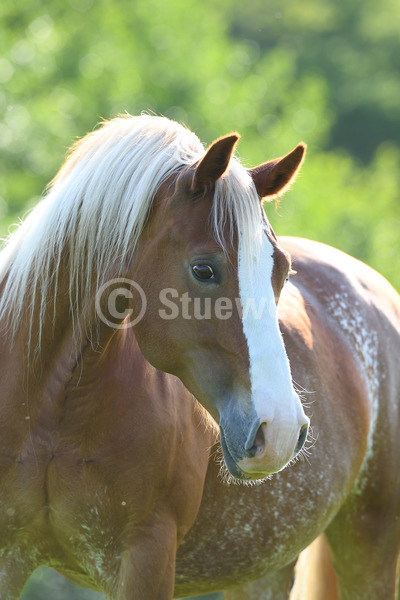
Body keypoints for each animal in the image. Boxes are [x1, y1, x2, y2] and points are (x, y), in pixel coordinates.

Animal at [0, 113, 398, 600]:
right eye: (204, 269)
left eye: (283, 271)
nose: (281, 430)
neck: (51, 411)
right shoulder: (9, 556)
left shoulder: (145, 557)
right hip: (261, 568)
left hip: (370, 540)